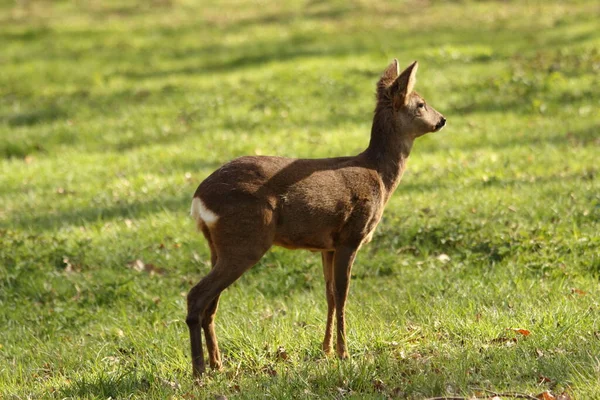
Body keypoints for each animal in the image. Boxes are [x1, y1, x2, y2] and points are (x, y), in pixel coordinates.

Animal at [188, 57, 446, 376]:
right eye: (420, 103)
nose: (442, 119)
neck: (380, 177)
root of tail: (199, 198)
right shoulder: (351, 236)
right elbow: (343, 293)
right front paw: (345, 353)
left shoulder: (328, 245)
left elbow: (330, 295)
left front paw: (326, 350)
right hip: (246, 240)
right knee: (197, 296)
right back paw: (199, 370)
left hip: (218, 245)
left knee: (210, 304)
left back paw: (217, 364)